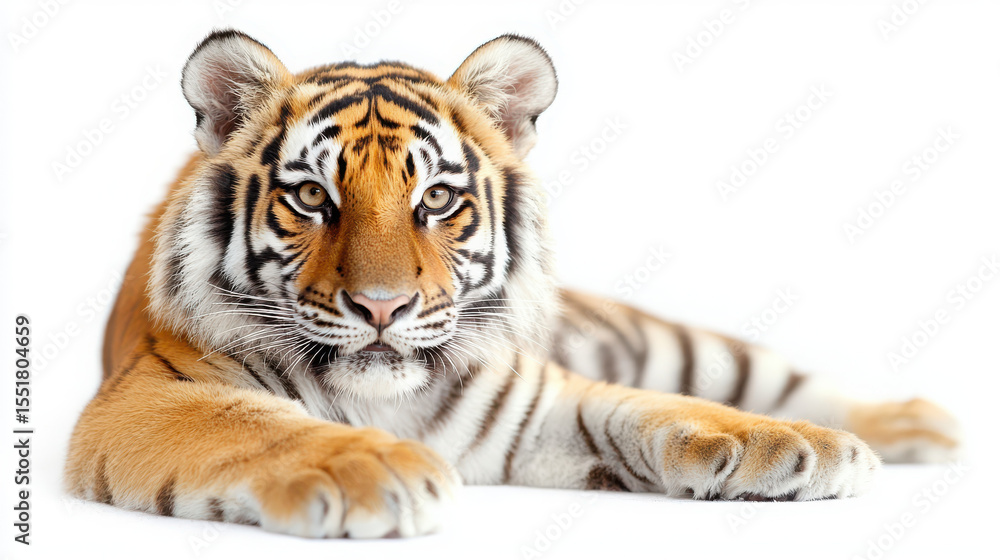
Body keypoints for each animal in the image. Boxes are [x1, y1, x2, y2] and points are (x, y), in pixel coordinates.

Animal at [65, 30, 960, 538]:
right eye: (313, 197)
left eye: (437, 200)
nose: (383, 308)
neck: (388, 399)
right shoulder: (151, 394)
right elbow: (261, 426)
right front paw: (375, 470)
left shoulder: (539, 398)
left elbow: (657, 409)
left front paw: (799, 448)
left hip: (676, 341)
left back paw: (915, 427)